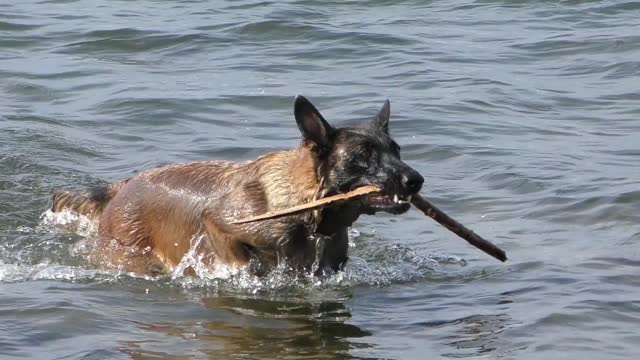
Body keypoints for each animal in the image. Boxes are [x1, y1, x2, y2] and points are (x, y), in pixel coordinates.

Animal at [51, 95, 424, 276]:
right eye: (363, 156)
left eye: (396, 151)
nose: (416, 180)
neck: (308, 211)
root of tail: (121, 187)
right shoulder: (219, 225)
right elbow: (243, 264)